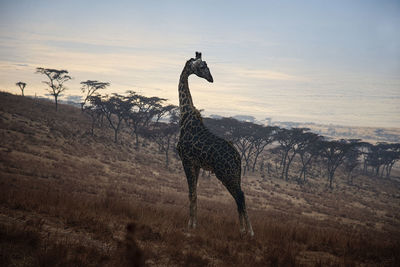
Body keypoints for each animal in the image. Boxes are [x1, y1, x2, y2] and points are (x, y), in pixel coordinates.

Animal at [177, 51, 255, 237]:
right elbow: (194, 193)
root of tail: (238, 158)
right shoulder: (196, 164)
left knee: (241, 196)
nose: (211, 79)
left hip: (225, 173)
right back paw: (242, 229)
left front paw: (190, 226)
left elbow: (191, 193)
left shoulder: (186, 160)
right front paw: (193, 223)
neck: (185, 115)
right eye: (201, 66)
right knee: (238, 197)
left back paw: (249, 231)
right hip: (235, 174)